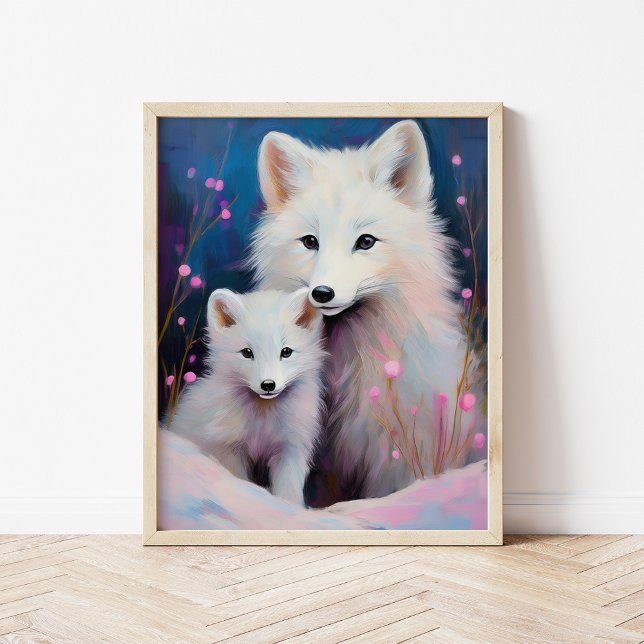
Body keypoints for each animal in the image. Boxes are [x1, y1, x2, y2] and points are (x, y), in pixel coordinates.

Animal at [168, 287, 326, 506]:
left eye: (286, 352)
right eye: (247, 352)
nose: (268, 385)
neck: (262, 421)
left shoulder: (290, 448)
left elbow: (289, 490)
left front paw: (290, 508)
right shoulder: (229, 448)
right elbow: (241, 483)